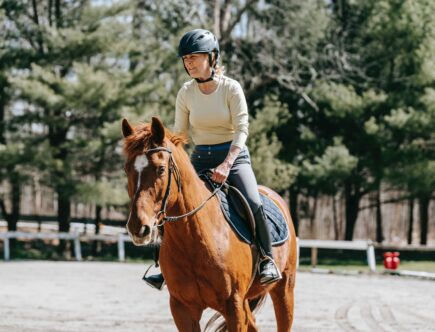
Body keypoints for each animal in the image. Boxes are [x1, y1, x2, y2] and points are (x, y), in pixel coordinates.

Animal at [122, 116, 300, 330]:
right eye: (127, 169)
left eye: (161, 169)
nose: (137, 228)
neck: (192, 239)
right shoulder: (182, 308)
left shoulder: (233, 306)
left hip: (284, 290)